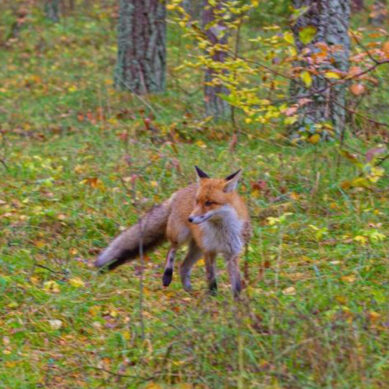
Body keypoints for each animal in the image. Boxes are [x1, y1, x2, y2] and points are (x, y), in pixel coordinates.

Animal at [95, 165, 250, 296]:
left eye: (209, 203)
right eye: (197, 201)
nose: (190, 219)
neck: (222, 231)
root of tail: (176, 194)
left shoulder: (232, 253)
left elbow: (236, 284)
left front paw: (237, 305)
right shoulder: (209, 251)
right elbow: (212, 280)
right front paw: (213, 299)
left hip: (197, 249)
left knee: (183, 267)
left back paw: (189, 291)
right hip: (181, 236)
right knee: (172, 250)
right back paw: (167, 275)